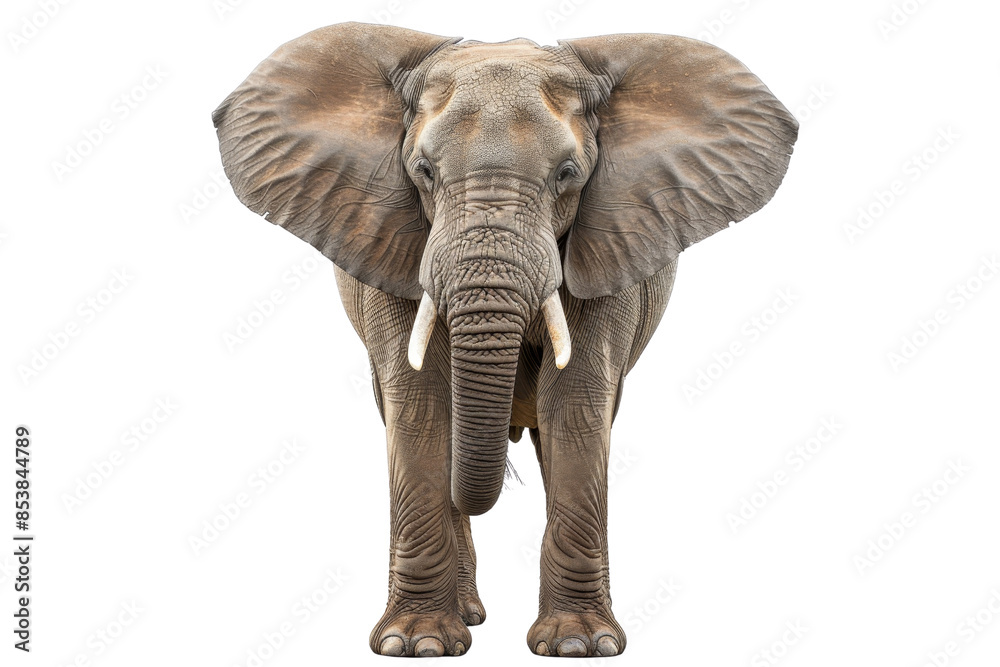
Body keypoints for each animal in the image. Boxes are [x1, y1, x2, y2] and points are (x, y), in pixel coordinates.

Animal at [212, 21, 797, 657]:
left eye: (568, 174)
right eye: (422, 171)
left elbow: (576, 404)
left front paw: (579, 646)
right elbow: (419, 405)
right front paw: (416, 645)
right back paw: (467, 616)